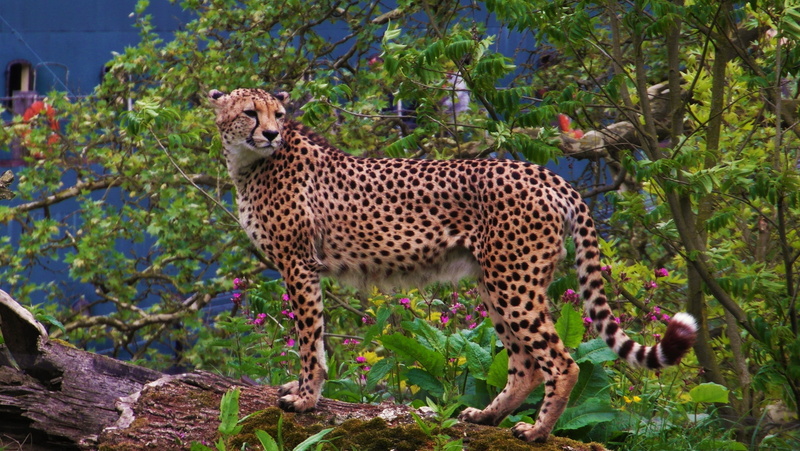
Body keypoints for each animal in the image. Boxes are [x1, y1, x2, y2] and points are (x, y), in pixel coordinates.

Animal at [208, 87, 698, 443]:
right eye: (251, 113)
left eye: (277, 115)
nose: (271, 134)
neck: (249, 163)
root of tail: (544, 173)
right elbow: (313, 336)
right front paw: (300, 390)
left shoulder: (299, 264)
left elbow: (310, 338)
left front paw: (307, 399)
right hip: (496, 281)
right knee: (525, 364)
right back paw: (486, 417)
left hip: (512, 281)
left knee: (562, 362)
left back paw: (537, 431)